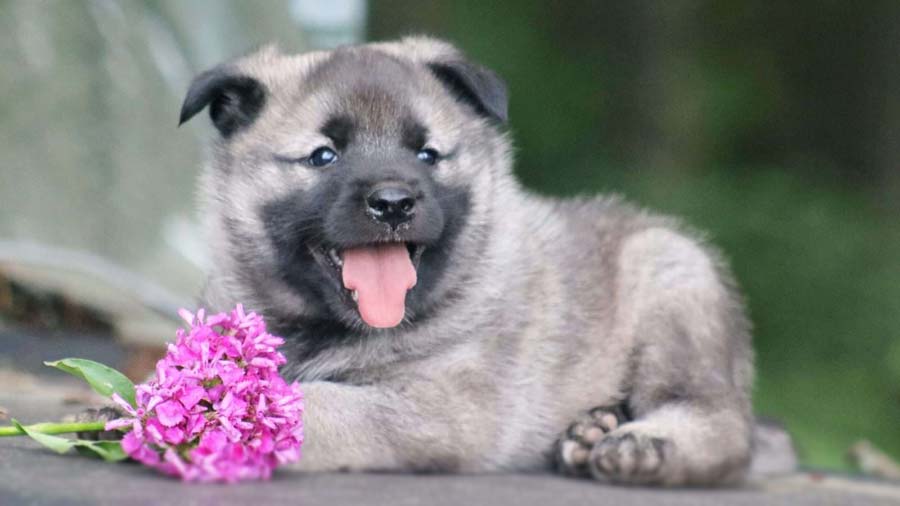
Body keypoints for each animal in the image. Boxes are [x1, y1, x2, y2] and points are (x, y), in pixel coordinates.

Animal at [176, 36, 752, 486]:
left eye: (427, 154)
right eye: (323, 156)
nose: (393, 203)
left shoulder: (441, 406)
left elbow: (314, 406)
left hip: (669, 273)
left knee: (724, 424)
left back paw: (643, 444)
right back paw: (593, 429)